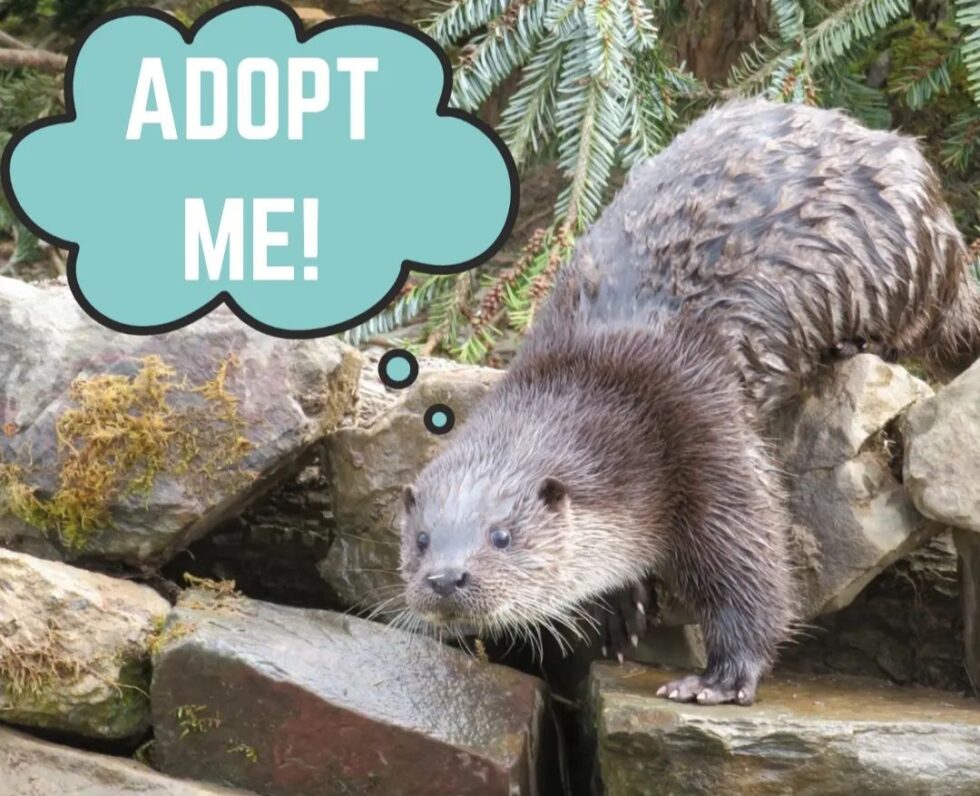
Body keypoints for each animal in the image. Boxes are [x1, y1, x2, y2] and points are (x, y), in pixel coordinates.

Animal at [399, 98, 980, 705]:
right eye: (420, 540)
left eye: (502, 536)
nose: (444, 577)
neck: (598, 379)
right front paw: (621, 605)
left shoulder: (701, 424)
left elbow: (751, 563)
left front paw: (722, 678)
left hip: (906, 264)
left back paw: (857, 344)